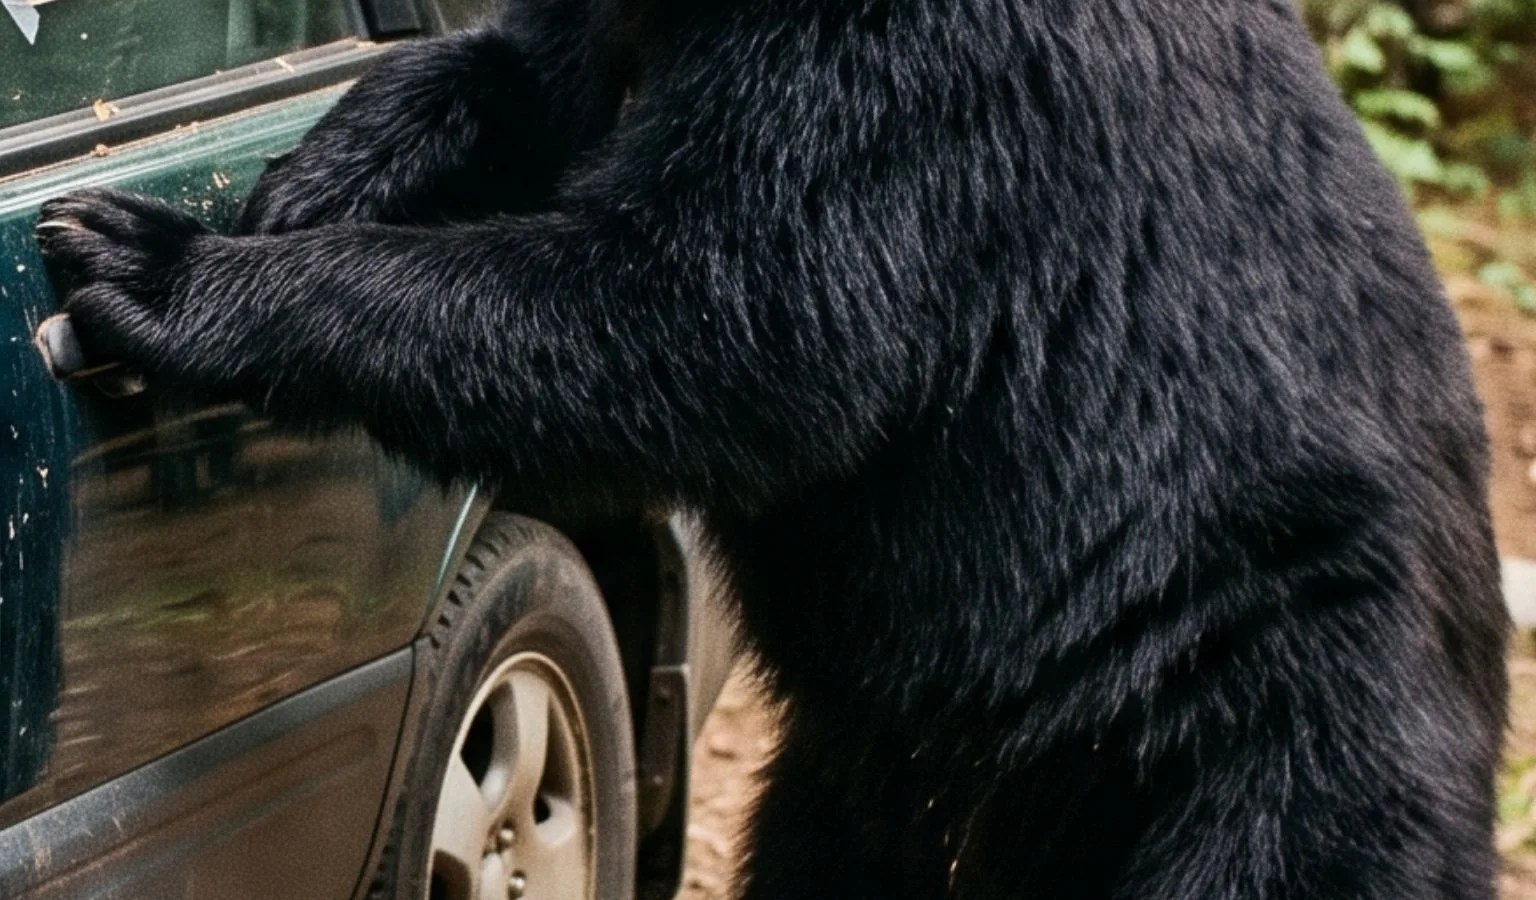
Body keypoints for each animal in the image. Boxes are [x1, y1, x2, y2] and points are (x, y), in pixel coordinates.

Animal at [35, 0, 1508, 896]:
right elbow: (523, 76)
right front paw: (297, 182)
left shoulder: (912, 70)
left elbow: (724, 314)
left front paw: (159, 268)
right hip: (869, 769)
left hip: (1262, 747)